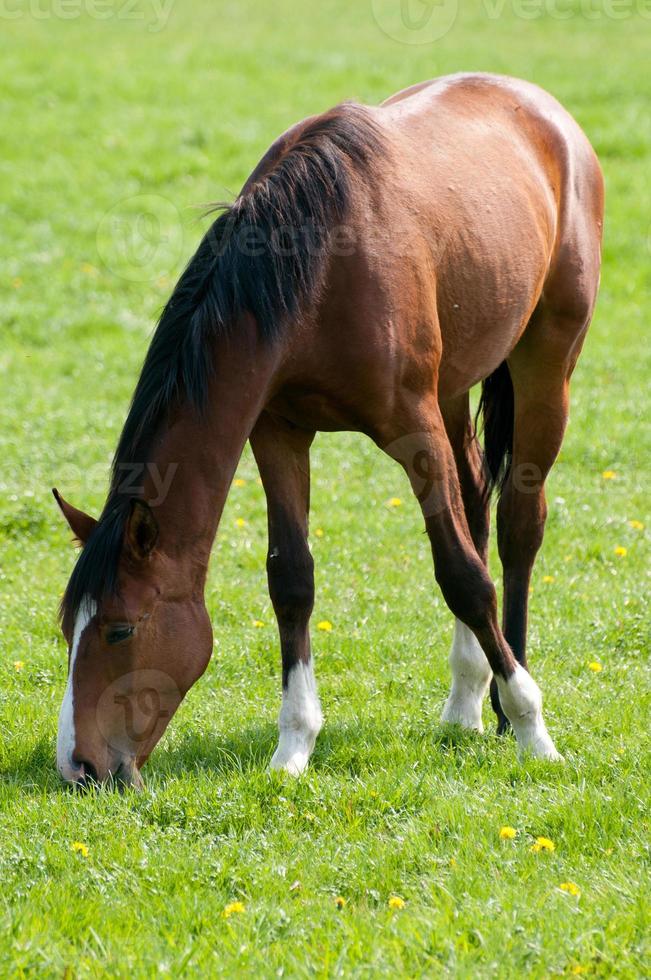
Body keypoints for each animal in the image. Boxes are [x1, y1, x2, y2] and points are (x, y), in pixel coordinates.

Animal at [53, 72, 604, 788]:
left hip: (546, 364)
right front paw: (293, 746)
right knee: (477, 502)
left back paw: (509, 708)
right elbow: (292, 580)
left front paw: (535, 729)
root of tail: (543, 108)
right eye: (69, 628)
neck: (314, 271)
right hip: (456, 386)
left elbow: (462, 575)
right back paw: (465, 701)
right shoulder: (278, 433)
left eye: (120, 629)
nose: (80, 766)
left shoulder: (415, 431)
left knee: (516, 524)